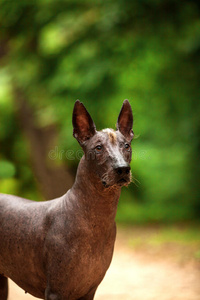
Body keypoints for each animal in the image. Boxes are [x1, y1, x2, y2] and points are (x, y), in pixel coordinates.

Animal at [0, 99, 134, 298]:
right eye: (98, 148)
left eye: (126, 146)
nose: (122, 169)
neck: (94, 220)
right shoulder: (56, 292)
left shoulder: (89, 291)